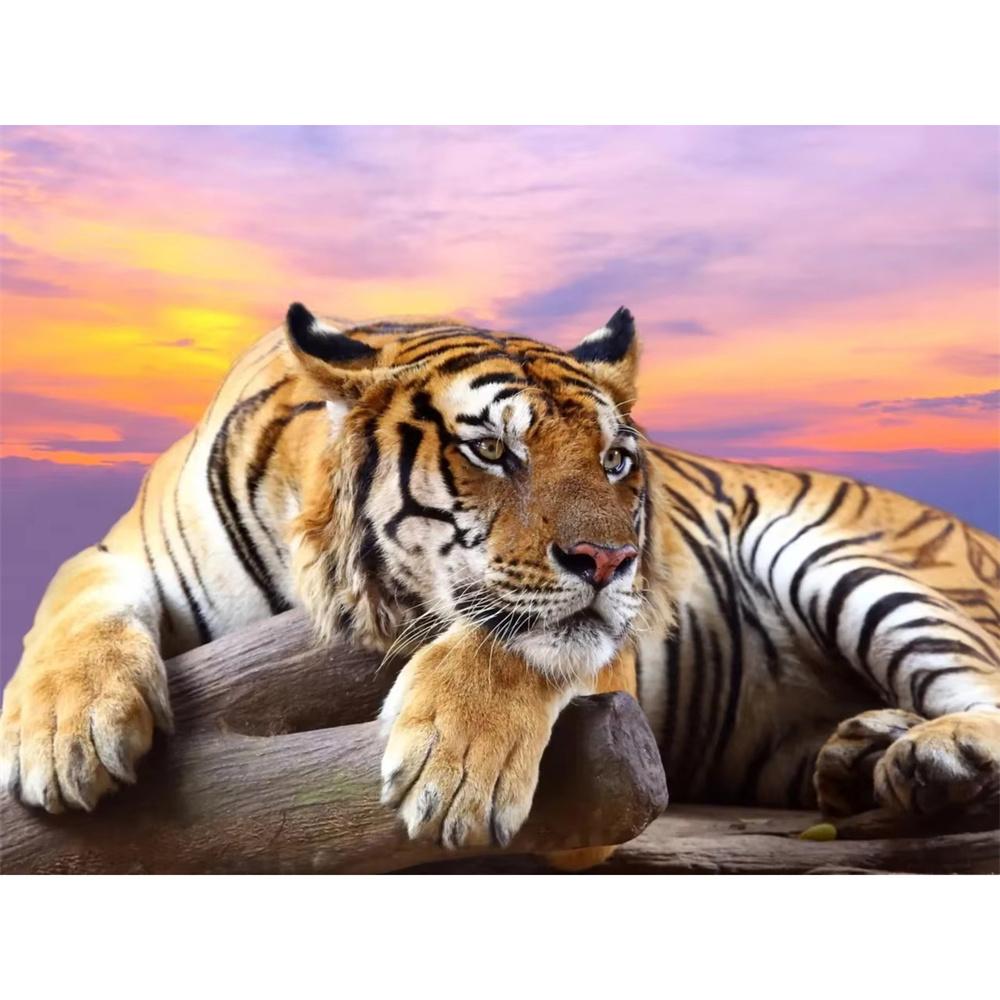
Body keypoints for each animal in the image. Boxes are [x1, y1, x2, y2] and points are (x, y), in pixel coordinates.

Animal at [2, 302, 998, 869]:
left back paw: (931, 757)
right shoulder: (124, 550)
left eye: (615, 461)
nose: (612, 562)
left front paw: (455, 771)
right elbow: (73, 599)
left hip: (849, 559)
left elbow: (519, 639)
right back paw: (861, 757)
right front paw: (65, 736)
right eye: (491, 449)